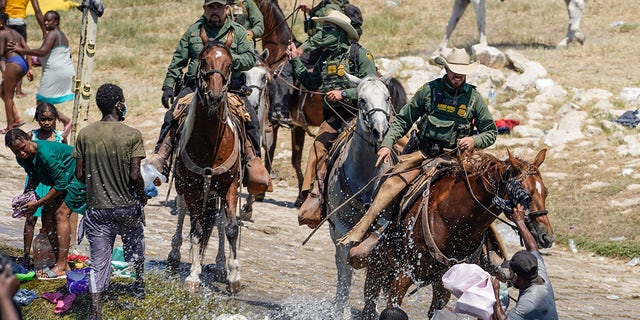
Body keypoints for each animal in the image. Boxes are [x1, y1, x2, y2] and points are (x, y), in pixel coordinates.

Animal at [166, 37, 241, 292]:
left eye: (230, 64)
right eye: (203, 60)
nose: (215, 96)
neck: (210, 144)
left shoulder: (230, 186)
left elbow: (231, 227)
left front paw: (234, 276)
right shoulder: (192, 188)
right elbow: (197, 230)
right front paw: (193, 275)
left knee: (218, 221)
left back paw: (220, 267)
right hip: (183, 187)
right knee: (182, 212)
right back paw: (174, 256)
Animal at [324, 73, 396, 318]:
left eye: (387, 97)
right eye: (361, 100)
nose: (380, 131)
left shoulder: (379, 228)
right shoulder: (342, 227)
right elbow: (346, 269)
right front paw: (341, 310)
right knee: (340, 264)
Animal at [360, 149, 556, 318]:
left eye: (546, 193)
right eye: (527, 195)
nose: (547, 236)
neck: (453, 221)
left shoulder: (442, 284)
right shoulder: (404, 274)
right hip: (378, 260)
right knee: (369, 299)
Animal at [436, 0, 584, 56]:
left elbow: (480, 23)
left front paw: (483, 47)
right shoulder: (462, 0)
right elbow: (451, 25)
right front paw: (441, 50)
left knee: (577, 6)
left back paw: (577, 34)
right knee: (572, 9)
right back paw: (566, 41)